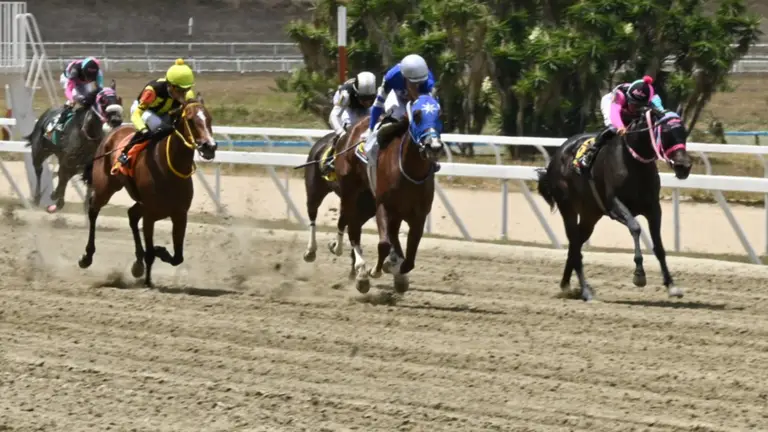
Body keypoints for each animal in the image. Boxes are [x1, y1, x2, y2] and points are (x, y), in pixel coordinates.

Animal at [25, 81, 124, 213]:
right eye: (103, 100)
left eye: (118, 99)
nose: (116, 120)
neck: (88, 137)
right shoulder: (67, 162)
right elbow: (63, 180)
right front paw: (56, 200)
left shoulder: (87, 167)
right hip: (39, 153)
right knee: (39, 171)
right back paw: (37, 197)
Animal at [78, 97, 217, 287]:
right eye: (190, 120)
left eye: (209, 119)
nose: (210, 146)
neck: (167, 166)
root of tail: (113, 131)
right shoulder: (150, 215)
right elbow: (151, 252)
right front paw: (148, 281)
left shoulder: (180, 214)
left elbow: (177, 257)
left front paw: (157, 254)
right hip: (105, 187)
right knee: (93, 210)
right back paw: (87, 256)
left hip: (140, 202)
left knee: (131, 215)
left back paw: (138, 262)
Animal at [299, 126, 377, 278]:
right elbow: (351, 228)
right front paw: (360, 270)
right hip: (314, 191)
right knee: (312, 214)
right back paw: (311, 250)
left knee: (343, 221)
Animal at [336, 93, 444, 294]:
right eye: (417, 115)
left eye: (439, 114)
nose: (434, 146)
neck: (410, 172)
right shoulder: (383, 206)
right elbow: (384, 244)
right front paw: (376, 270)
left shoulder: (418, 216)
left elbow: (409, 259)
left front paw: (396, 270)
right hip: (350, 193)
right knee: (353, 228)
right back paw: (361, 273)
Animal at [536, 108, 693, 302]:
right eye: (664, 133)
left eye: (684, 133)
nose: (684, 166)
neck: (634, 163)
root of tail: (557, 156)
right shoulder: (615, 205)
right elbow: (635, 228)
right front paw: (639, 275)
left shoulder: (654, 208)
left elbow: (659, 247)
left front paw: (671, 285)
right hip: (568, 208)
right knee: (575, 245)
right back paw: (585, 291)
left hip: (590, 214)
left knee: (575, 245)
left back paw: (567, 285)